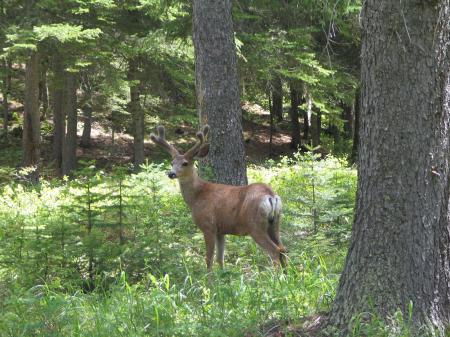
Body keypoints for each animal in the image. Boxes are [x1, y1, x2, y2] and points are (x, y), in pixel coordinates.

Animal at [151, 125, 284, 270]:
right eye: (172, 162)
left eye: (185, 163)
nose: (171, 174)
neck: (196, 196)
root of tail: (270, 195)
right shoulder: (221, 230)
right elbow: (220, 258)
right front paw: (222, 275)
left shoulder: (208, 225)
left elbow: (208, 258)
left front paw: (208, 277)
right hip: (275, 223)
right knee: (282, 249)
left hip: (255, 225)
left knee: (275, 251)